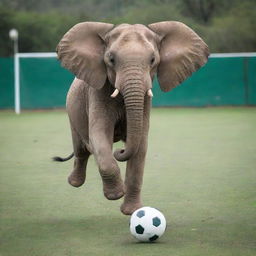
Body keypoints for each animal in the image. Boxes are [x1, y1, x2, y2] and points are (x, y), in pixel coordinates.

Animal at [54, 21, 208, 215]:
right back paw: (75, 182)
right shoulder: (97, 93)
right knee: (82, 148)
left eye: (153, 60)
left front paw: (132, 211)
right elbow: (99, 136)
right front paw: (115, 195)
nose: (119, 151)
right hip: (72, 110)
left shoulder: (145, 102)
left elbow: (140, 146)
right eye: (111, 60)